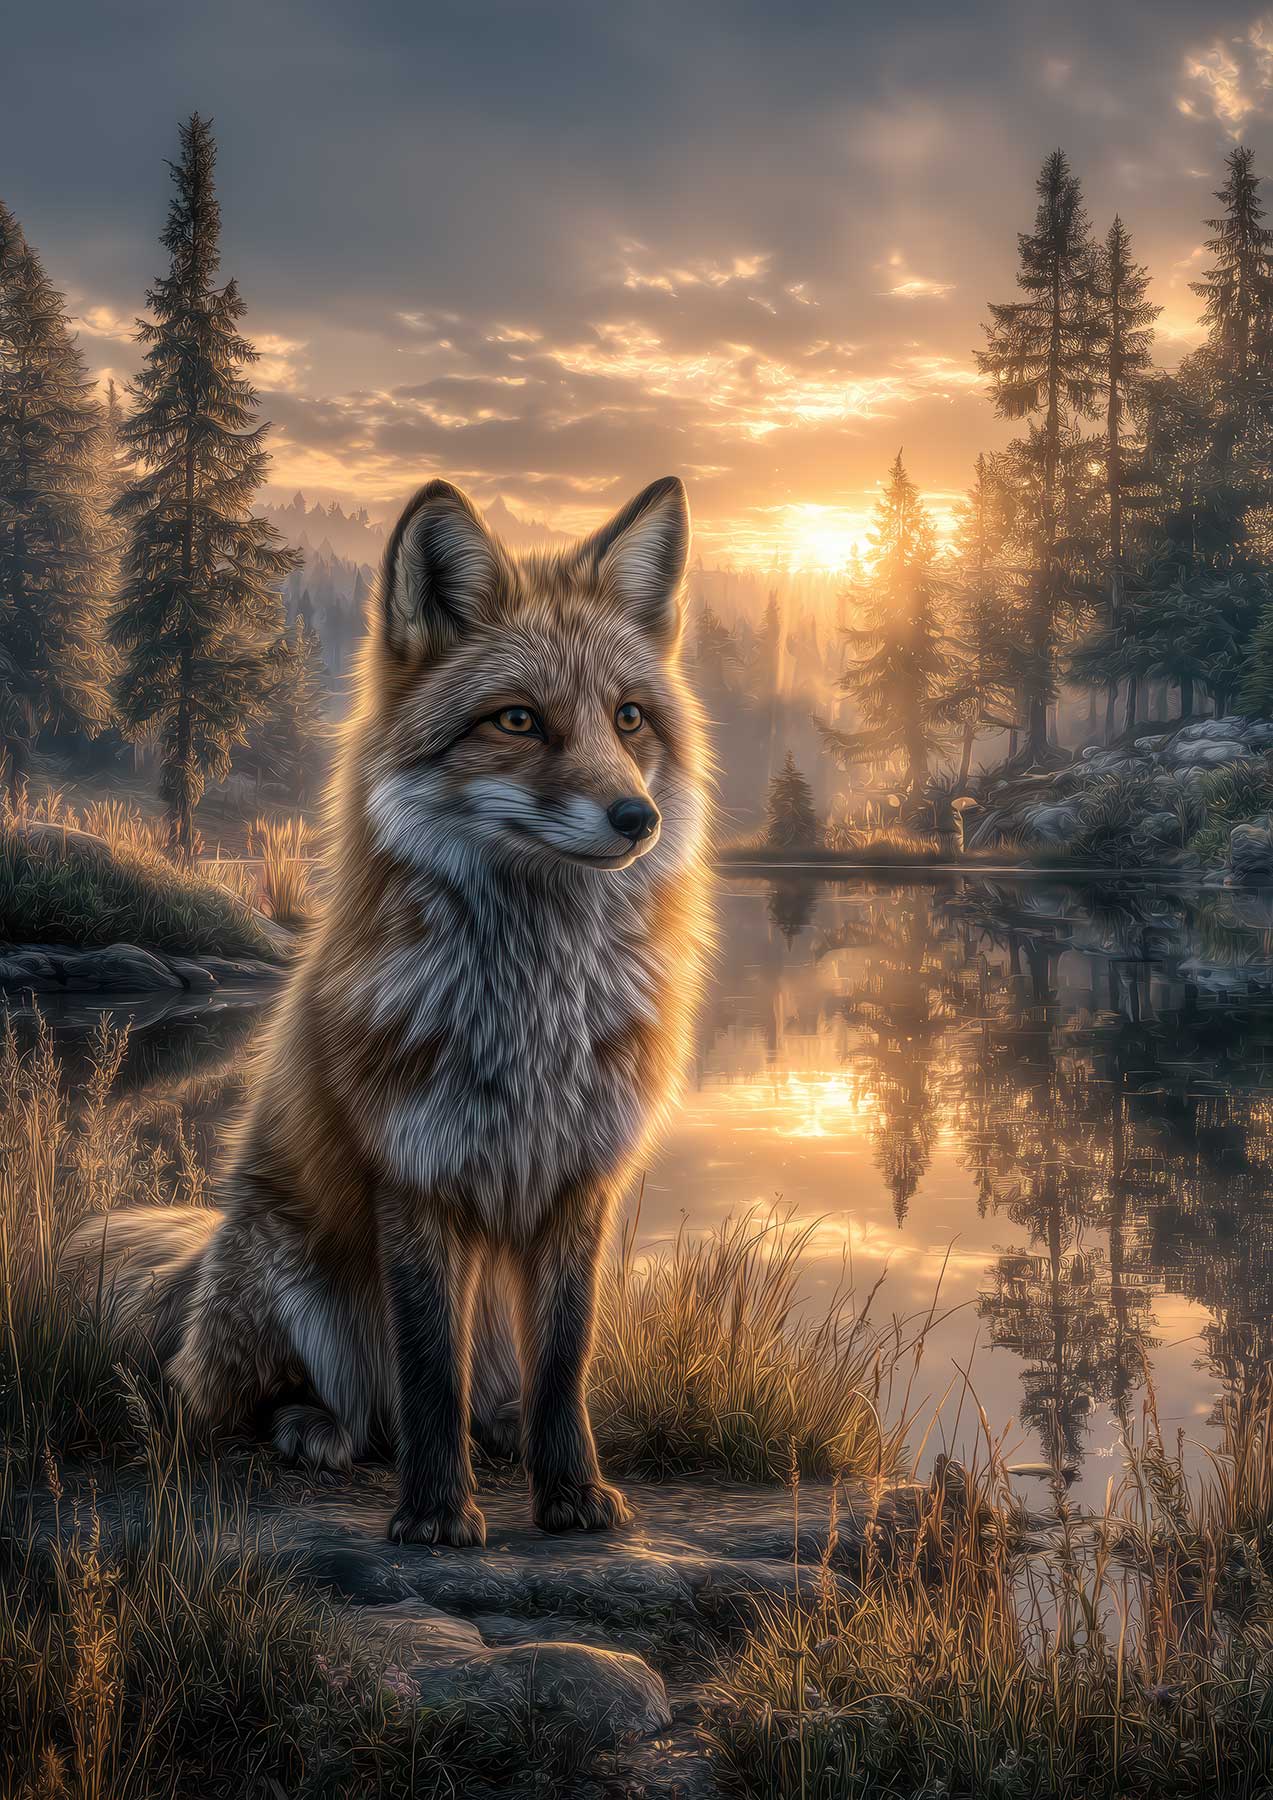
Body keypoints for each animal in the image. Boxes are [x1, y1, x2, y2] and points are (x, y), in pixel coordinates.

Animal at [75, 475, 710, 1547]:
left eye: (628, 718)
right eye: (518, 721)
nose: (637, 818)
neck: (532, 1015)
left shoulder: (581, 1181)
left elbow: (564, 1363)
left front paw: (571, 1493)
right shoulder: (414, 1176)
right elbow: (424, 1374)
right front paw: (435, 1515)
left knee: (480, 1391)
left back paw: (499, 1434)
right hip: (293, 1280)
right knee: (281, 1404)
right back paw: (317, 1429)